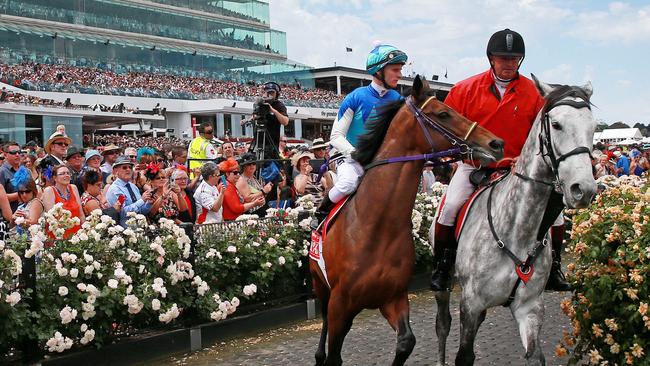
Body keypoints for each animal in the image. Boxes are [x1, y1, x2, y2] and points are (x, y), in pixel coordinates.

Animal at [312, 75, 504, 366]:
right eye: (443, 113)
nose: (496, 143)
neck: (375, 228)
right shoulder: (340, 302)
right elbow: (334, 355)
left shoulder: (394, 297)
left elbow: (406, 342)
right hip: (321, 288)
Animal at [432, 75, 596, 366]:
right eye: (556, 124)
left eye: (594, 127)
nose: (583, 189)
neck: (517, 229)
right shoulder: (470, 304)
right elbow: (464, 354)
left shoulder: (529, 308)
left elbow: (534, 355)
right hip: (445, 285)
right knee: (442, 324)